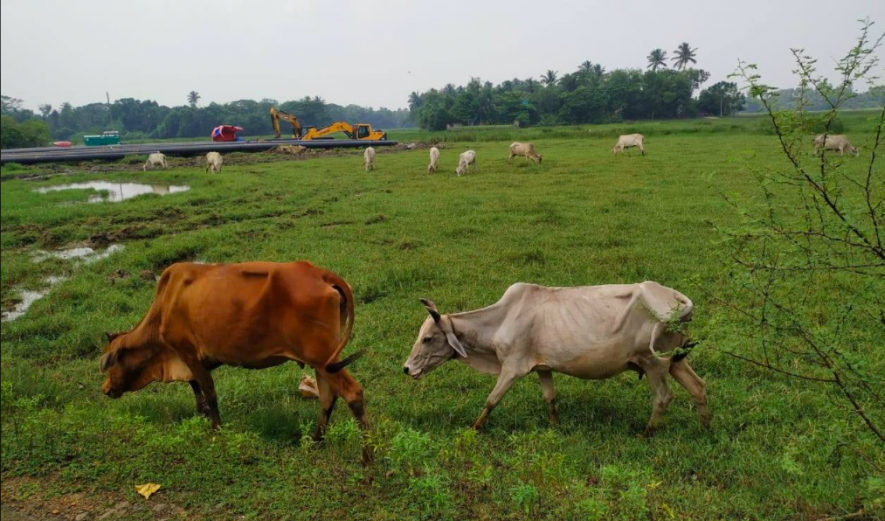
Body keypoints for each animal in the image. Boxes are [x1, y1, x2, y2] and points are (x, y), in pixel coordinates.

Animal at [99, 262, 370, 462]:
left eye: (111, 363)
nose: (105, 389)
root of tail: (321, 273)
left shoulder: (189, 353)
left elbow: (209, 392)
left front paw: (215, 429)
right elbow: (195, 388)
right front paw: (202, 413)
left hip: (322, 357)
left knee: (353, 394)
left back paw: (367, 460)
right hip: (324, 361)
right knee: (327, 398)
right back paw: (315, 442)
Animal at [404, 280, 708, 430]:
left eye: (428, 338)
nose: (406, 369)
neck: (502, 319)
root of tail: (676, 298)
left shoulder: (512, 367)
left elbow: (491, 400)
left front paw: (474, 429)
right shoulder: (542, 366)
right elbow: (550, 397)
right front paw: (554, 425)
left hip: (654, 362)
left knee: (664, 397)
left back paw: (647, 433)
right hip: (674, 359)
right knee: (699, 387)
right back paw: (703, 429)